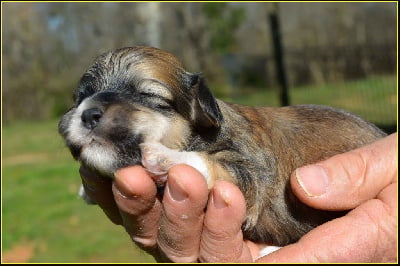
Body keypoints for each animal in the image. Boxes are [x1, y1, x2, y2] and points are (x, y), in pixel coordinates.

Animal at [57, 46, 386, 247]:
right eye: (81, 97)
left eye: (151, 97)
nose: (88, 113)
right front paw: (86, 190)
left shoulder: (249, 172)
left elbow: (206, 162)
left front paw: (162, 157)